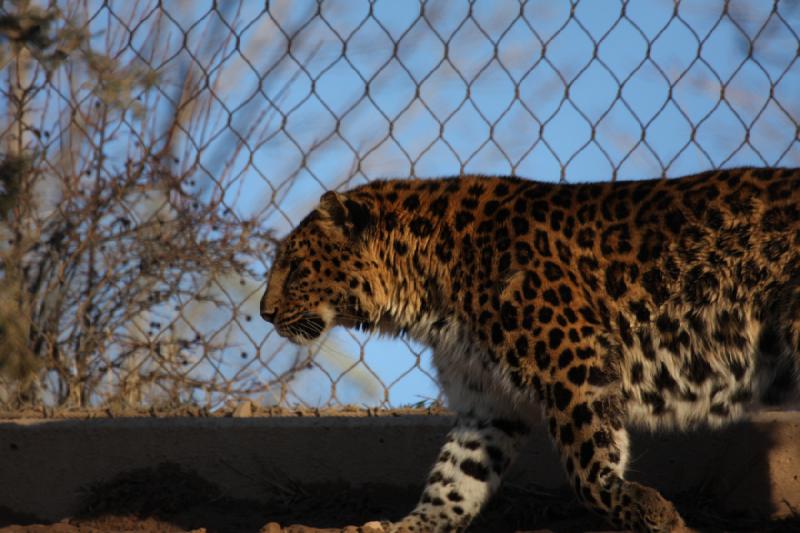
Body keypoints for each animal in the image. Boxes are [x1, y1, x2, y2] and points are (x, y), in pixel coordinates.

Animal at [260, 168, 800, 532]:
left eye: (294, 266)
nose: (264, 313)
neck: (427, 290)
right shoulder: (487, 404)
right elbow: (453, 480)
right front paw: (407, 527)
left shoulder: (576, 367)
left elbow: (588, 469)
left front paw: (652, 512)